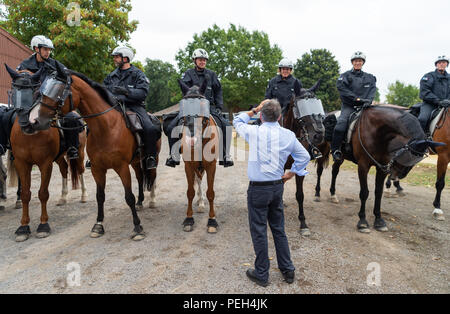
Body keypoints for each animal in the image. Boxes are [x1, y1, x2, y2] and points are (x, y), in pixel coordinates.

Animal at [4, 64, 87, 243]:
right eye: (13, 89)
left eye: (35, 90)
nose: (27, 122)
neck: (30, 135)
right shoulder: (22, 163)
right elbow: (26, 194)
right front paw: (23, 227)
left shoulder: (45, 163)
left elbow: (43, 193)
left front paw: (43, 225)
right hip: (59, 157)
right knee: (64, 170)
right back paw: (63, 197)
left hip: (80, 152)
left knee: (81, 170)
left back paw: (84, 195)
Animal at [29, 63, 160, 240]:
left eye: (57, 90)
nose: (35, 120)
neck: (107, 128)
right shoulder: (98, 169)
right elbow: (100, 197)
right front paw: (98, 225)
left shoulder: (122, 167)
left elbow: (128, 197)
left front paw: (137, 228)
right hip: (135, 161)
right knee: (140, 177)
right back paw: (141, 202)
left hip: (152, 158)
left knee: (152, 176)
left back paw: (152, 200)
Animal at [177, 79, 221, 234]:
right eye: (183, 107)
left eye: (203, 106)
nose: (191, 140)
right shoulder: (189, 166)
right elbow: (190, 192)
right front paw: (189, 219)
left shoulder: (211, 166)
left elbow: (211, 193)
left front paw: (212, 220)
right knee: (198, 181)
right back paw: (200, 201)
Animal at [324, 103, 442, 233]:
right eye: (408, 155)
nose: (396, 176)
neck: (377, 132)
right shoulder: (363, 166)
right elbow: (364, 193)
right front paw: (362, 221)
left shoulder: (382, 168)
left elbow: (378, 193)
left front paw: (379, 220)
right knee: (334, 171)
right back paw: (328, 194)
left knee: (335, 171)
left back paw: (333, 195)